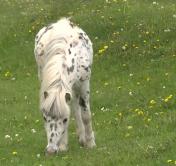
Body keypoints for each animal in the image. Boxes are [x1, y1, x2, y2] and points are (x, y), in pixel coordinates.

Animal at [33, 17, 95, 154]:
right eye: (44, 118)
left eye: (65, 119)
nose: (51, 150)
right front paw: (62, 145)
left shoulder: (84, 85)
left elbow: (86, 115)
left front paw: (90, 143)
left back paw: (83, 138)